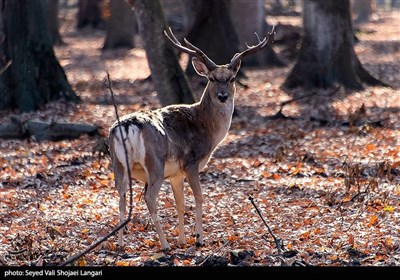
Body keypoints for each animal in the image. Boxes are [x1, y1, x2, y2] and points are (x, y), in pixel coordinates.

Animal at [108, 25, 274, 249]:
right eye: (211, 78)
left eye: (231, 79)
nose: (223, 96)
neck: (207, 129)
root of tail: (127, 126)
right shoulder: (191, 162)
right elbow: (199, 197)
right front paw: (198, 238)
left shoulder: (175, 173)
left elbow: (180, 204)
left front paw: (182, 239)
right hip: (155, 162)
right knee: (149, 197)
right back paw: (165, 245)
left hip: (118, 163)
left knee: (121, 196)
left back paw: (121, 243)